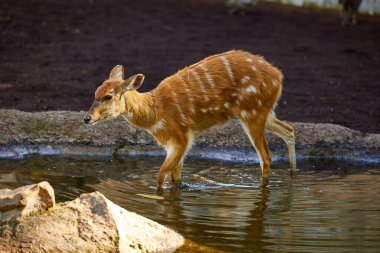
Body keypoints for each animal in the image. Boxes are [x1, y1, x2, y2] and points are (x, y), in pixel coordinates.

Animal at [84, 50, 296, 188]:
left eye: (108, 96)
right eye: (95, 92)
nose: (87, 118)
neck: (155, 113)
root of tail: (278, 76)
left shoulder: (180, 139)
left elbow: (160, 177)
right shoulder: (176, 143)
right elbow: (176, 179)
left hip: (252, 112)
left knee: (266, 156)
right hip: (265, 111)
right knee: (289, 130)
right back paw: (292, 174)